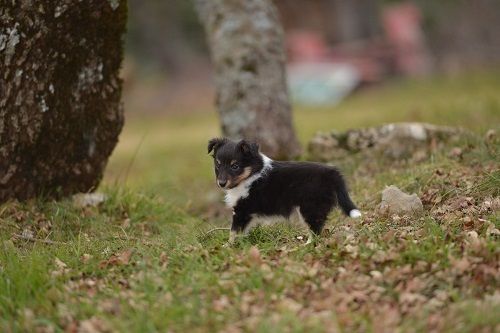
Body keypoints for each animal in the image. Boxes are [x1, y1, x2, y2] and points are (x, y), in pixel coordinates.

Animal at [206, 136, 360, 243]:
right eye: (218, 165)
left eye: (235, 166)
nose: (221, 183)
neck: (251, 175)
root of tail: (332, 173)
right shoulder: (247, 214)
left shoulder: (242, 211)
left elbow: (233, 232)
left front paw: (228, 247)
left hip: (310, 207)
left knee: (315, 229)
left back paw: (307, 245)